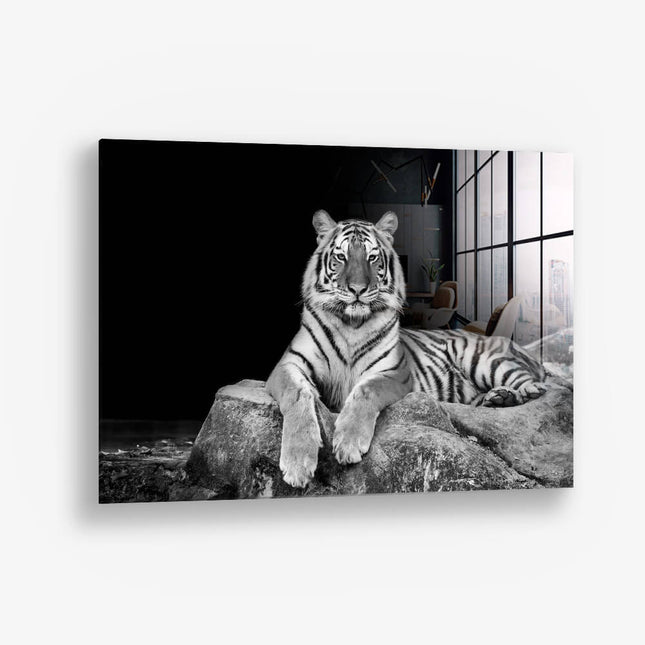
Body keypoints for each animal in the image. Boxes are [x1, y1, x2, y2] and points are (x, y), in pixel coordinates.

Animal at [266, 209, 547, 488]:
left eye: (372, 257)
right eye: (341, 257)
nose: (357, 289)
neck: (351, 324)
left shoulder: (395, 373)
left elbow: (366, 390)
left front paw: (348, 442)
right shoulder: (288, 365)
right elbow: (297, 394)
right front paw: (297, 463)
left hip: (483, 360)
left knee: (533, 383)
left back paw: (516, 393)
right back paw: (498, 398)